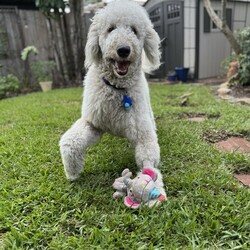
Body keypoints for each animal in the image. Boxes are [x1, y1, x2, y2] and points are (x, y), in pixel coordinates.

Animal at [59, 0, 166, 202]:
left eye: (134, 30)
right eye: (110, 29)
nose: (123, 50)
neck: (117, 88)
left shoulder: (143, 135)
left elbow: (149, 162)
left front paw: (152, 189)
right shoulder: (93, 123)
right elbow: (70, 142)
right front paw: (72, 171)